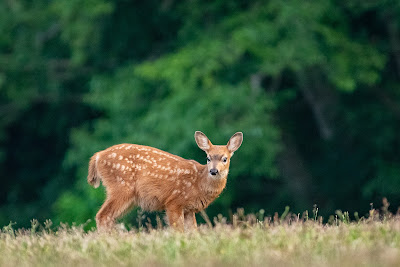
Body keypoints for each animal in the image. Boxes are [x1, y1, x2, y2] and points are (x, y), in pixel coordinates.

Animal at [88, 132, 244, 232]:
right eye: (208, 158)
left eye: (225, 159)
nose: (213, 171)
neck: (198, 182)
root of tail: (98, 156)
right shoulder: (174, 202)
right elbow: (178, 230)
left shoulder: (189, 209)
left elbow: (193, 232)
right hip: (121, 186)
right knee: (102, 215)